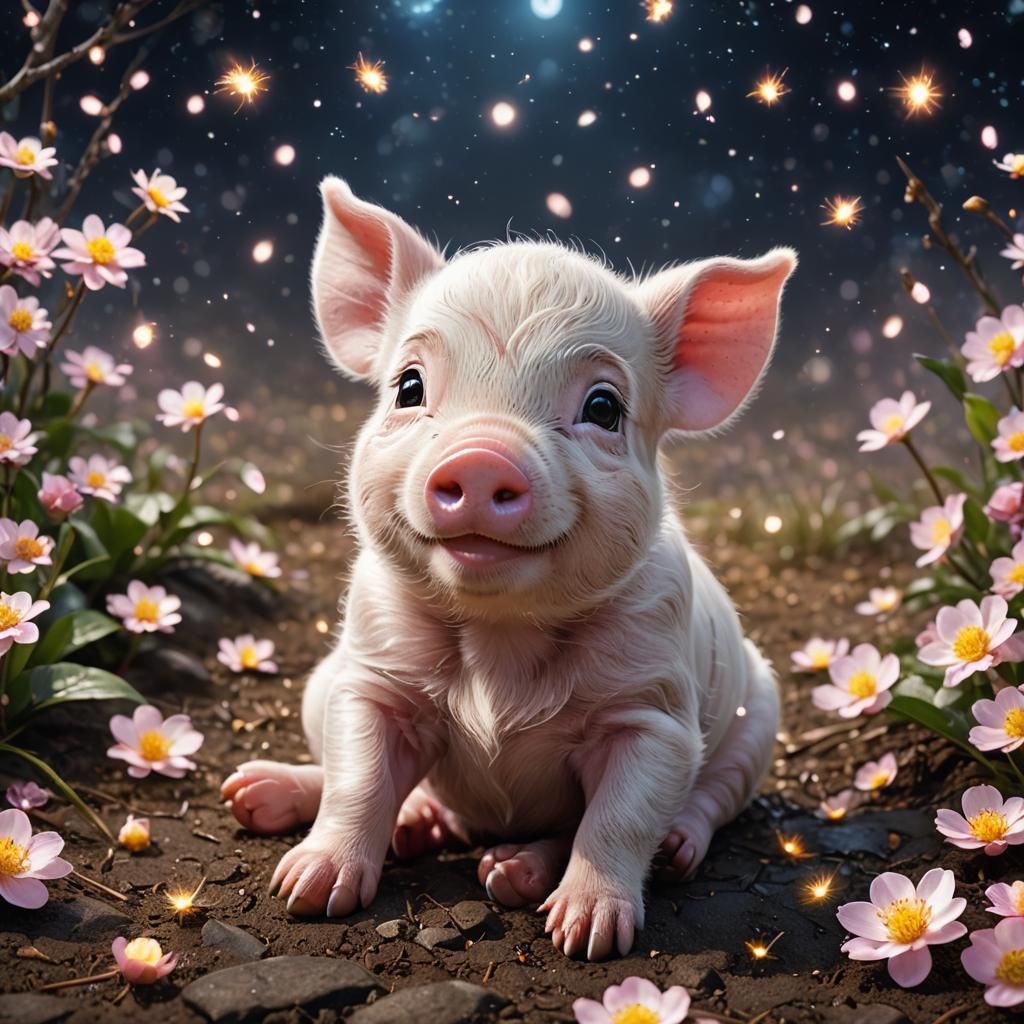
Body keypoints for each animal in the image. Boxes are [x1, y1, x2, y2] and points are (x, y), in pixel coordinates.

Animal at [221, 177, 796, 960]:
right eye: (408, 387)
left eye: (603, 407)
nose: (481, 456)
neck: (501, 644)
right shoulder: (369, 679)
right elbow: (357, 780)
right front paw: (306, 891)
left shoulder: (655, 713)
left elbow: (617, 819)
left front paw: (585, 936)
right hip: (318, 686)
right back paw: (262, 797)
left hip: (759, 720)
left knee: (697, 805)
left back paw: (532, 871)